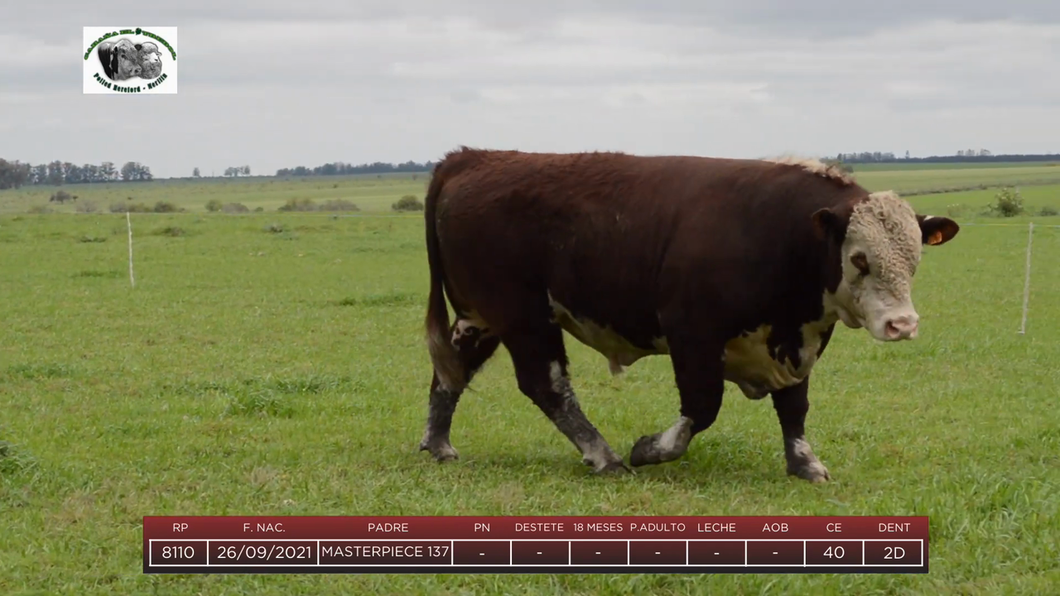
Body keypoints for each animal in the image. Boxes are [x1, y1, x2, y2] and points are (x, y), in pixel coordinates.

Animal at [415, 146, 962, 479]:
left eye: (914, 257)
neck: (777, 232)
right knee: (547, 386)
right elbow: (702, 407)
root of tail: (474, 158)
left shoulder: (796, 342)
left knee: (451, 372)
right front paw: (649, 449)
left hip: (480, 316)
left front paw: (805, 464)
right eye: (860, 259)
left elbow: (795, 406)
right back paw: (604, 455)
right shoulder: (691, 333)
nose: (901, 324)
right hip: (525, 317)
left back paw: (438, 443)